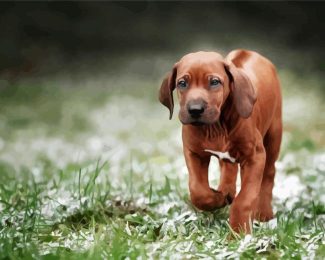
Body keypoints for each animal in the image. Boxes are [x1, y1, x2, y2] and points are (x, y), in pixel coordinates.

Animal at [159, 49, 280, 233]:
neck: (216, 127)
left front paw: (238, 232)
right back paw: (226, 192)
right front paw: (217, 198)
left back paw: (263, 213)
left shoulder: (255, 156)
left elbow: (244, 199)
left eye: (214, 82)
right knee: (228, 168)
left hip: (274, 135)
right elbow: (198, 190)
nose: (195, 110)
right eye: (182, 83)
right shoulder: (194, 152)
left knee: (269, 174)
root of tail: (249, 52)